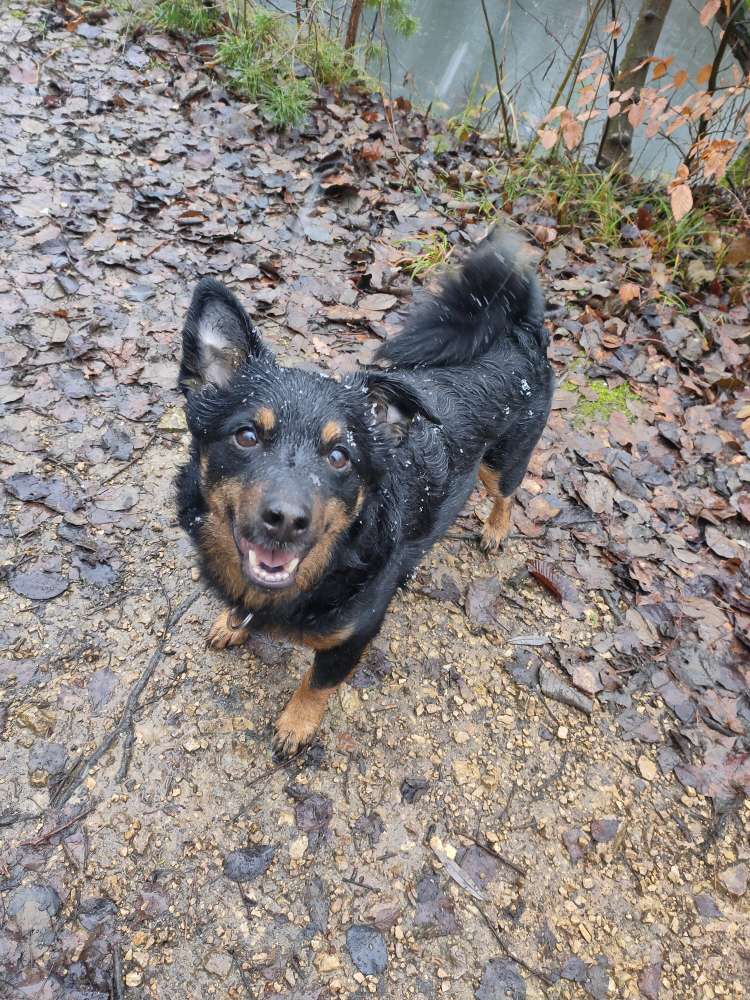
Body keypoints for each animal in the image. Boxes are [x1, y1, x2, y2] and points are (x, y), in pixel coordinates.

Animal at [175, 234, 552, 756]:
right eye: (246, 436)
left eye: (341, 457)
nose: (287, 519)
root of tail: (519, 329)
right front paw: (232, 623)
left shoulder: (352, 638)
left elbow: (317, 685)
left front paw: (296, 726)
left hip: (504, 461)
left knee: (507, 494)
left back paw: (496, 529)